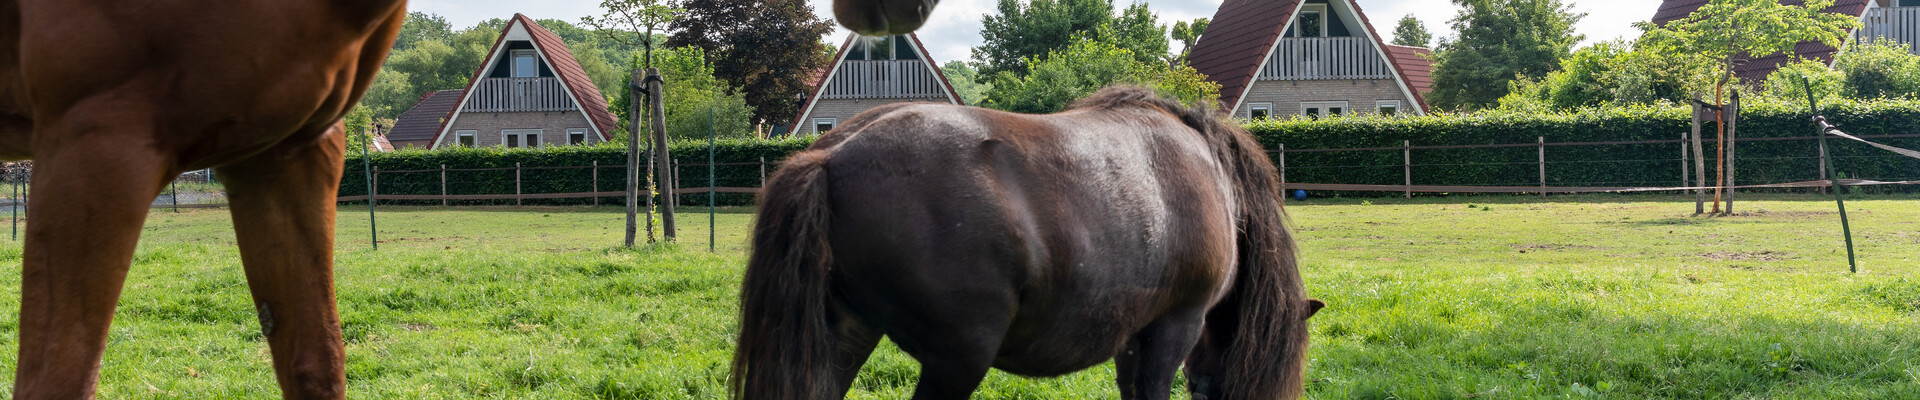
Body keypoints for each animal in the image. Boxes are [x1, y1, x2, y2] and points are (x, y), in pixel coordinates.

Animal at [725, 88, 1328, 400]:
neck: (1209, 171)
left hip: (845, 336)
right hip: (957, 358)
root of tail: (830, 156)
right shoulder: (1174, 325)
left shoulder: (1133, 339)